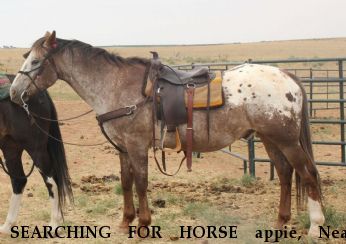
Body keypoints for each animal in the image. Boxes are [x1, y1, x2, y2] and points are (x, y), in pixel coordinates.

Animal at [0, 74, 72, 233]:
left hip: (36, 149)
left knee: (51, 180)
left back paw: (54, 223)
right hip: (10, 148)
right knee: (18, 180)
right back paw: (7, 226)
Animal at [10, 31, 324, 237]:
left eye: (35, 62)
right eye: (26, 57)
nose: (13, 93)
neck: (115, 86)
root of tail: (287, 76)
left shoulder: (137, 146)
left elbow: (140, 183)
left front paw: (143, 225)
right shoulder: (123, 148)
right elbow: (125, 182)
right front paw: (126, 222)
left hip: (285, 140)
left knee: (307, 173)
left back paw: (315, 226)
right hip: (270, 139)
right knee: (285, 174)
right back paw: (280, 223)